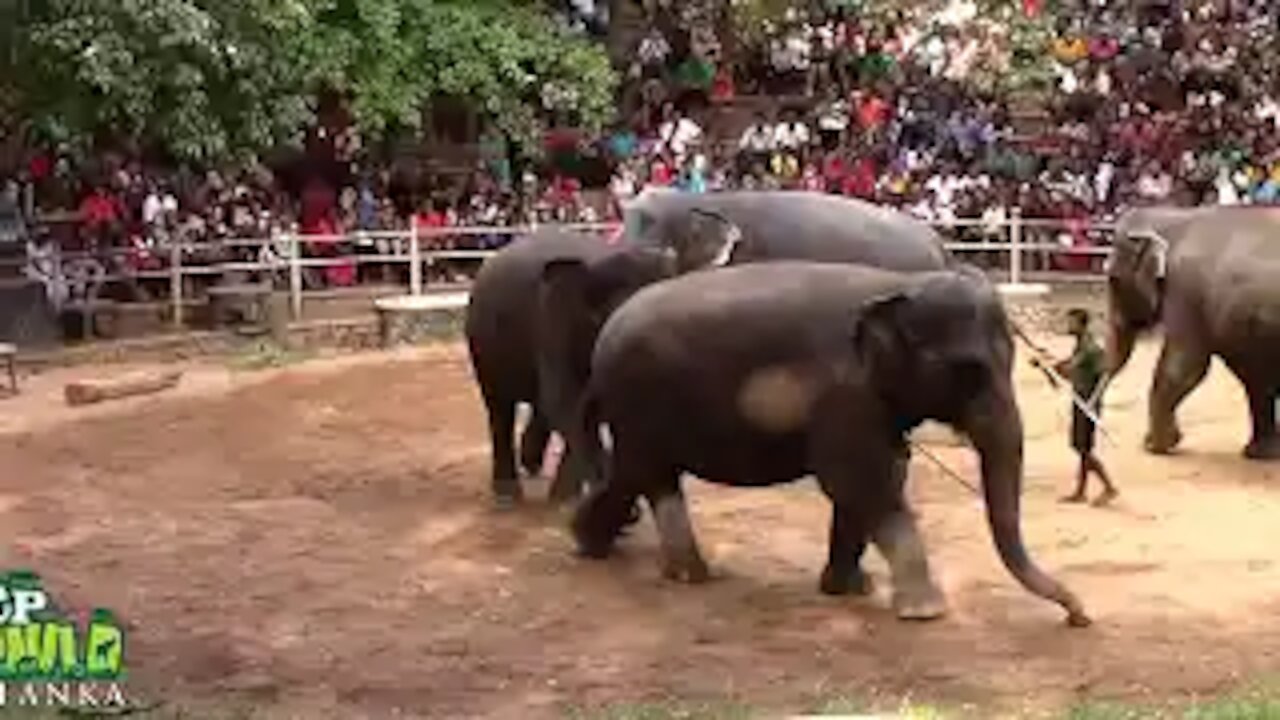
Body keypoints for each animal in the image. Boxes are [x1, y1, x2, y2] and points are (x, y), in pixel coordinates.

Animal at [576, 260, 1095, 625]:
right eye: (968, 372)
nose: (1079, 616)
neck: (899, 284)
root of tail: (604, 336)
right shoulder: (846, 393)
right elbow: (861, 481)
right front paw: (925, 612)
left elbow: (875, 480)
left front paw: (849, 589)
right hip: (639, 400)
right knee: (653, 475)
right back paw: (686, 574)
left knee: (630, 472)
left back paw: (588, 544)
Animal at [1100, 204, 1280, 456]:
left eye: (1113, 279)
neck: (1174, 214)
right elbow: (1255, 378)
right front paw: (1258, 453)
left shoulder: (1185, 290)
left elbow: (1183, 367)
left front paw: (1154, 446)